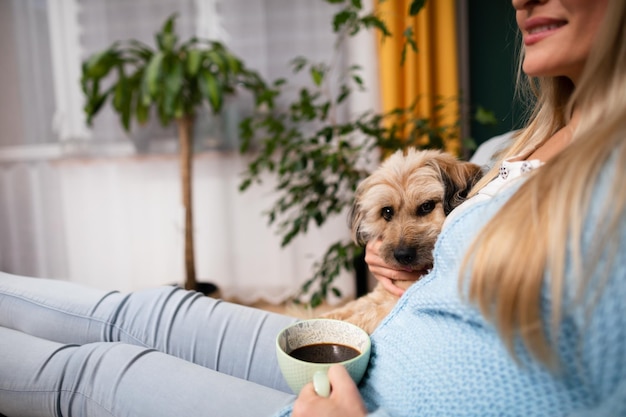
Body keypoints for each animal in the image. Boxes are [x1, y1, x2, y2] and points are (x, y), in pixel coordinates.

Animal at [320, 148, 480, 334]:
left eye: (426, 206)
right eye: (387, 212)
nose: (402, 255)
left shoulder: (394, 304)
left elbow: (364, 316)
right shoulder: (378, 294)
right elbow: (351, 306)